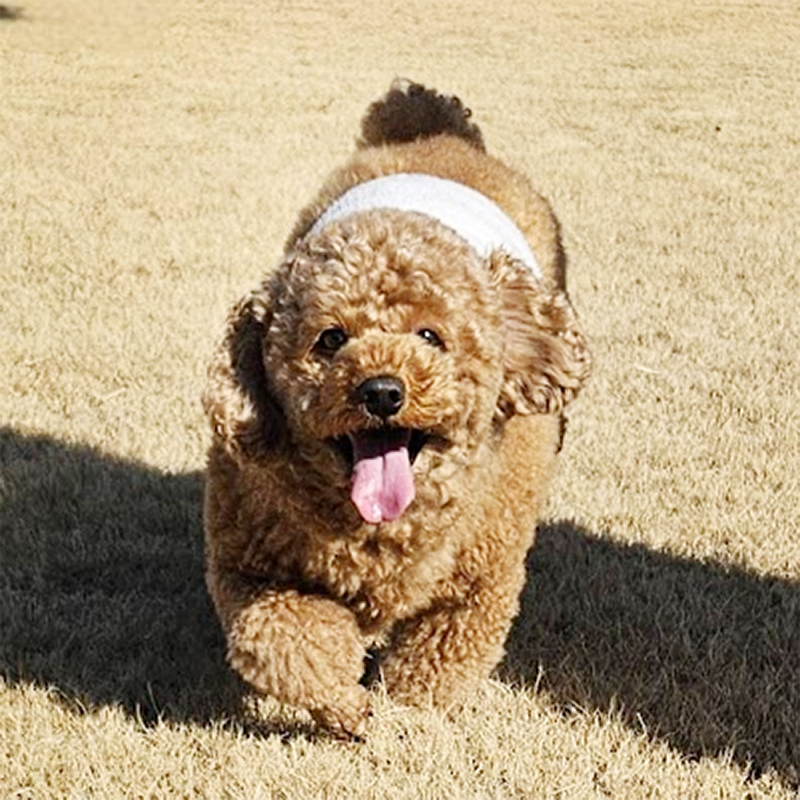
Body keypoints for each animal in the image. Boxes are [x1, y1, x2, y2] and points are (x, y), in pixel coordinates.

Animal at [203, 82, 591, 737]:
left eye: (431, 336)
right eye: (330, 339)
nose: (382, 390)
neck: (381, 531)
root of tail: (438, 134)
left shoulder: (479, 584)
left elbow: (432, 668)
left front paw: (401, 717)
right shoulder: (249, 567)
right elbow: (283, 640)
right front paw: (347, 708)